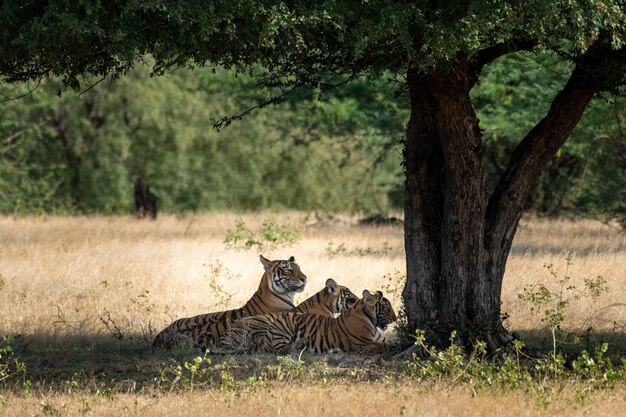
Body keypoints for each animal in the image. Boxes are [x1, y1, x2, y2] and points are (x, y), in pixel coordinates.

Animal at [219, 290, 394, 354]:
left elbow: (389, 341)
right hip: (282, 327)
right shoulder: (361, 344)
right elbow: (383, 346)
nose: (396, 318)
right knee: (277, 349)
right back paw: (301, 344)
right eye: (386, 307)